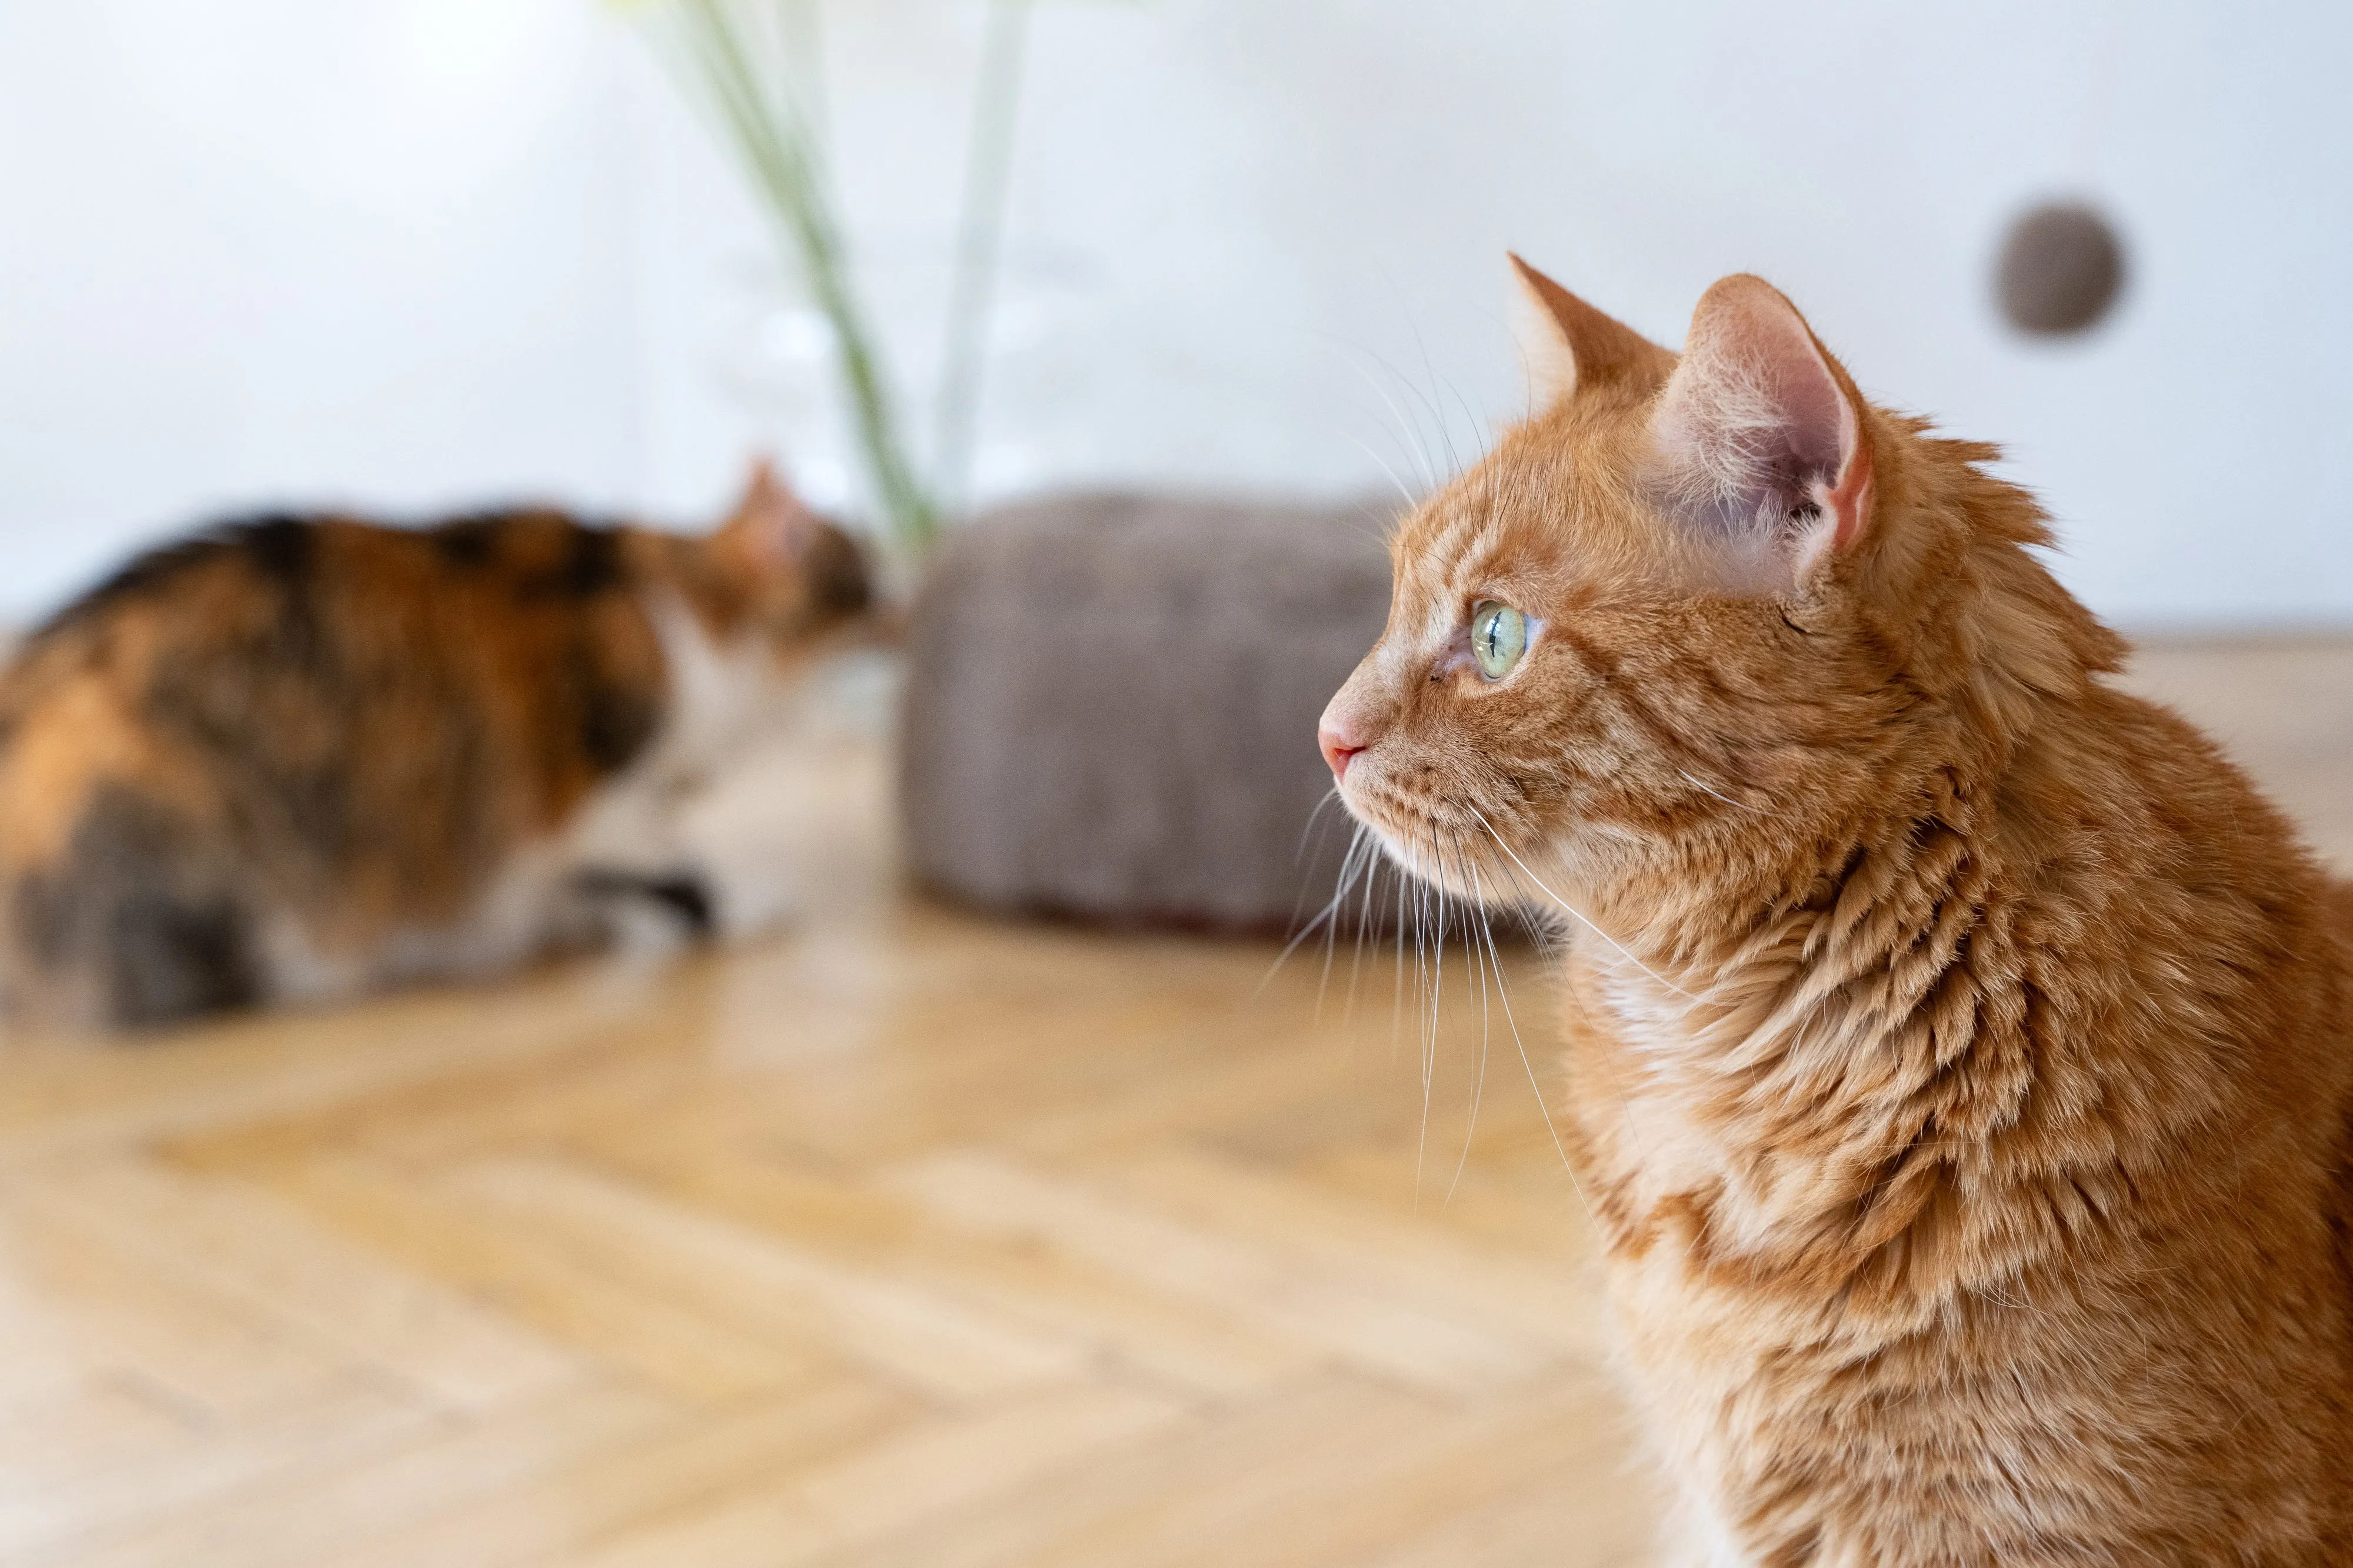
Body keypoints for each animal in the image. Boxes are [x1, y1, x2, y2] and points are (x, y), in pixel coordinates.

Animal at [0, 459, 871, 1031]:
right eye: (868, 583)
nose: (897, 599)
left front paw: (583, 924)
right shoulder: (587, 801)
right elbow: (681, 874)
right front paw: (746, 901)